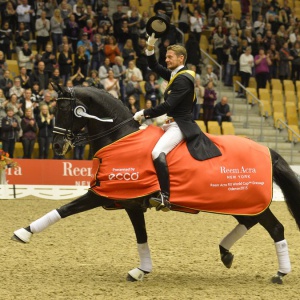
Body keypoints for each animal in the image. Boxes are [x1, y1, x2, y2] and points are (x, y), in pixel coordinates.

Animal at [12, 86, 300, 284]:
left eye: (63, 110)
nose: (57, 146)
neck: (120, 138)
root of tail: (268, 149)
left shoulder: (105, 194)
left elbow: (65, 209)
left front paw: (23, 232)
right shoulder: (130, 204)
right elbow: (141, 237)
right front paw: (141, 270)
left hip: (249, 200)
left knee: (276, 228)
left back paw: (280, 273)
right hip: (240, 201)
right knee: (250, 222)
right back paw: (225, 253)